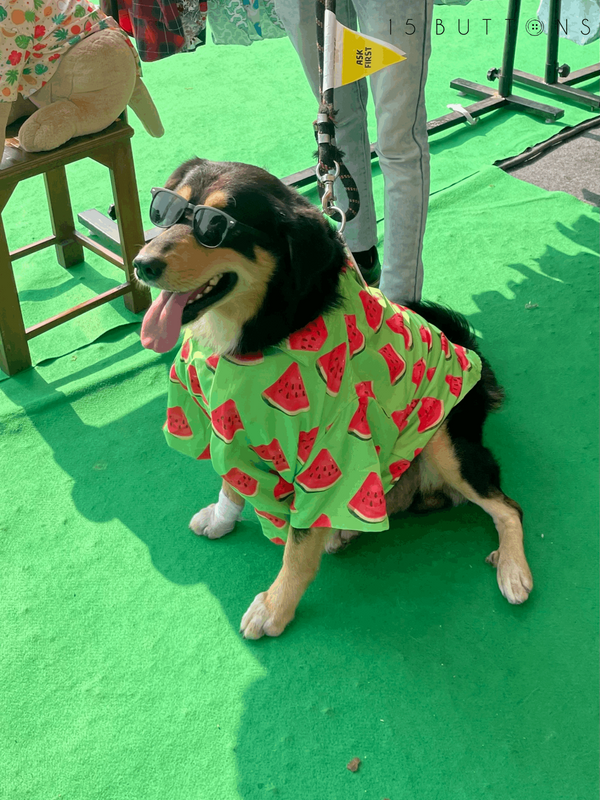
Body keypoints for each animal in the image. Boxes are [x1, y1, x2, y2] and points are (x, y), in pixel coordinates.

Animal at [134, 159, 532, 640]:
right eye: (164, 208)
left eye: (217, 226)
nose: (141, 264)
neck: (263, 334)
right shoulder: (230, 425)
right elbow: (233, 484)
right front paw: (221, 518)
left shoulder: (332, 448)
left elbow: (298, 547)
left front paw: (275, 607)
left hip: (442, 440)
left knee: (509, 508)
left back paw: (512, 569)